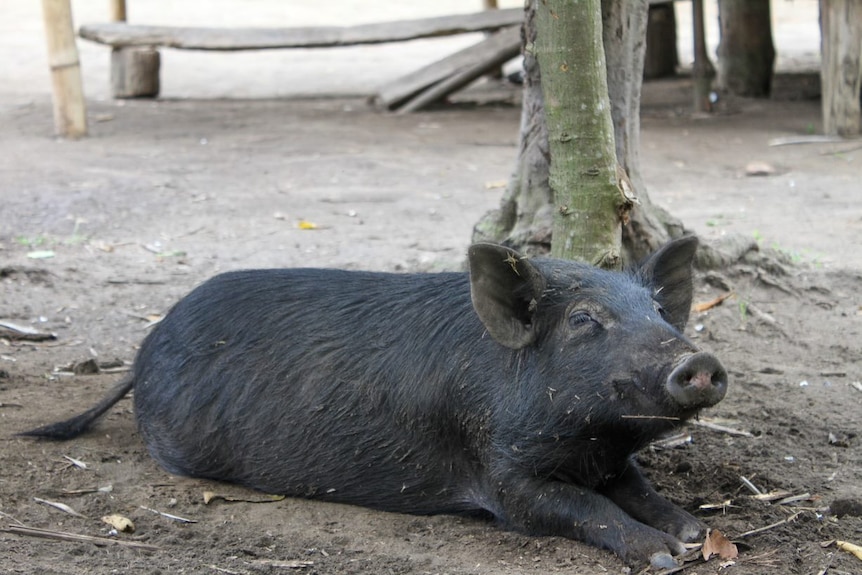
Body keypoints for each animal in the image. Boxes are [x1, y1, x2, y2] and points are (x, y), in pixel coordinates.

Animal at [23, 236, 728, 568]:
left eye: (658, 312)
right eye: (584, 320)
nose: (699, 362)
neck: (590, 441)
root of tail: (146, 343)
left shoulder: (611, 460)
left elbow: (638, 489)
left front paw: (695, 533)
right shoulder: (501, 472)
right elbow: (581, 507)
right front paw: (665, 556)